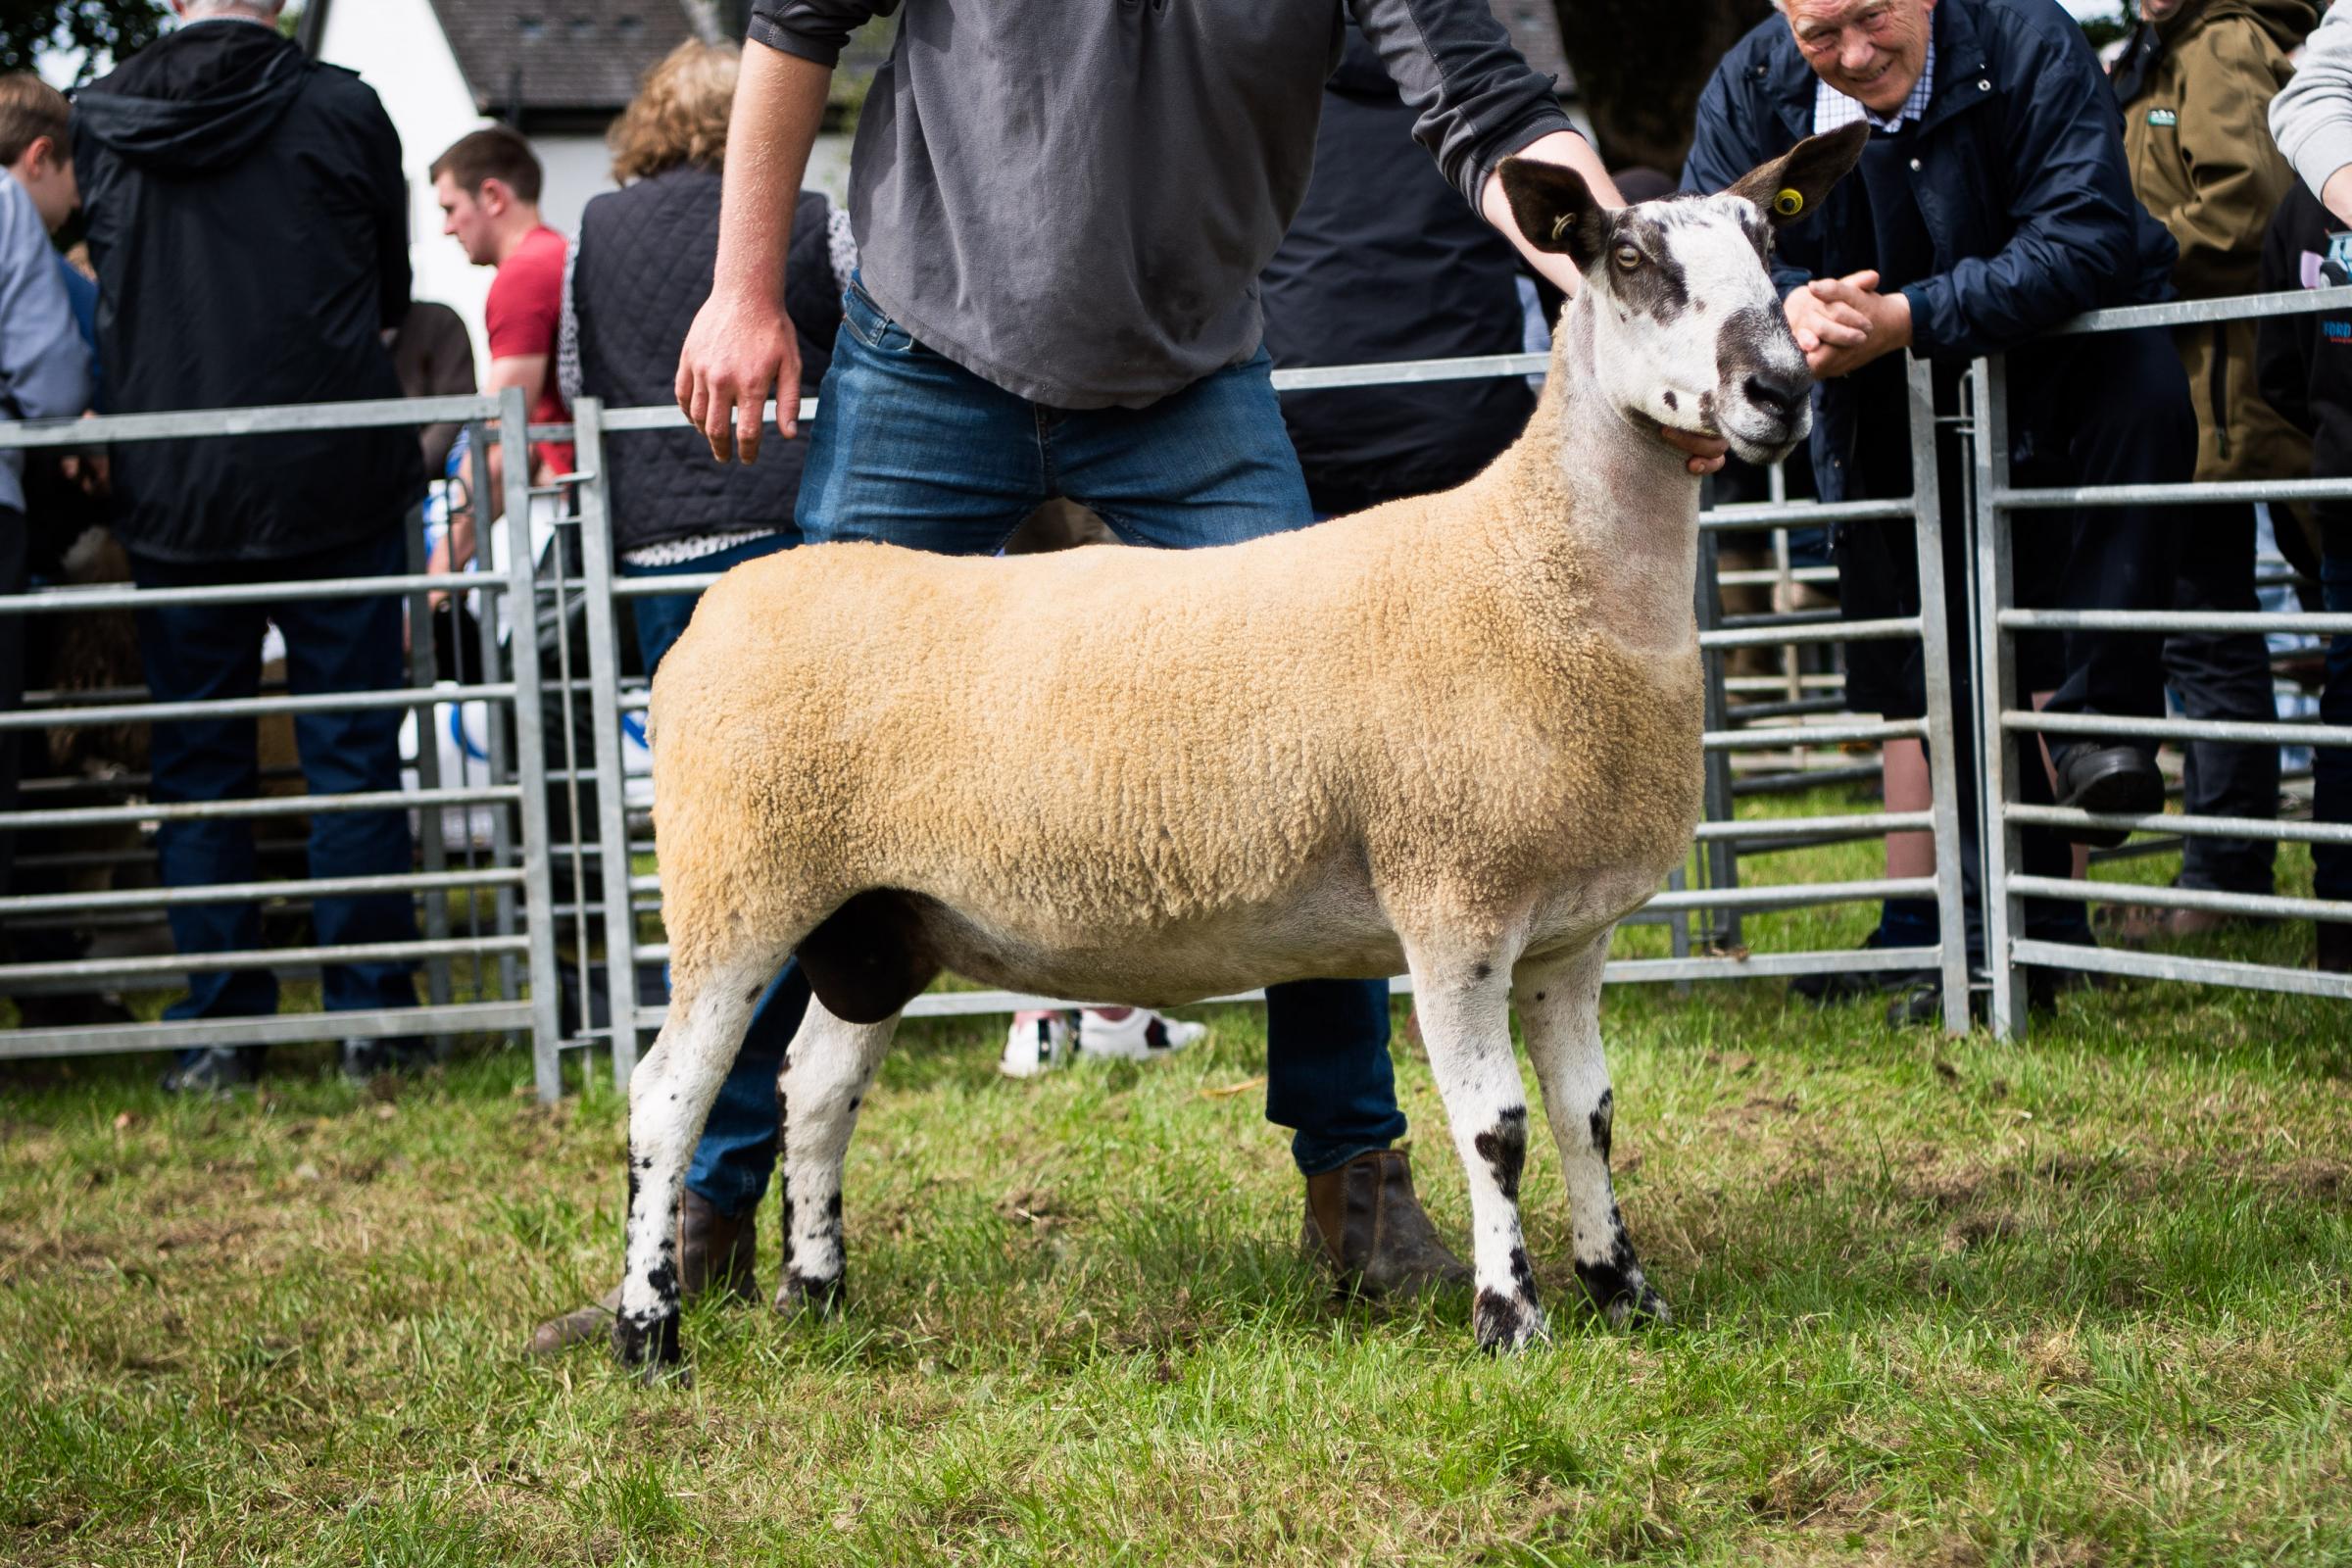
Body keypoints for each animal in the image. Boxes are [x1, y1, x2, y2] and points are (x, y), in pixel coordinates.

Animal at [615, 128, 1862, 1382]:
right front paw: (1511, 1318)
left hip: (877, 913)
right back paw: (648, 1328)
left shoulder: (1570, 926)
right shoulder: (1452, 897)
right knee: (668, 1096)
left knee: (816, 1089)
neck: (1535, 565)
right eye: (1630, 259)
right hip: (740, 880)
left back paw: (816, 1294)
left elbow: (1587, 1114)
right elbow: (1496, 1129)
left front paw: (1627, 1292)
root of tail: (723, 605)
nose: (1784, 389)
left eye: (1770, 243)